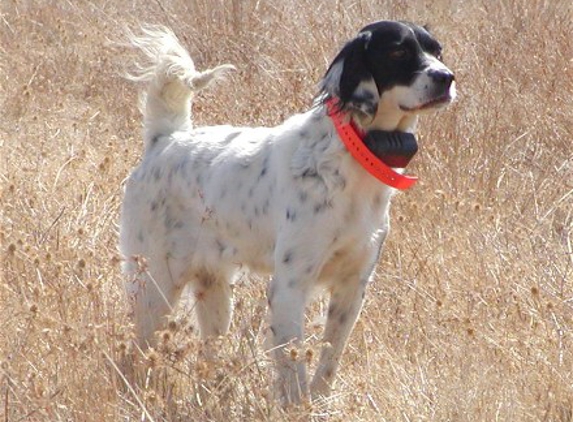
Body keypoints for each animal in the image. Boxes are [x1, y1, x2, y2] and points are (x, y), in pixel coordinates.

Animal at [120, 21, 456, 404]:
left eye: (437, 50)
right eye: (398, 51)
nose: (446, 77)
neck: (352, 154)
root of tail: (165, 141)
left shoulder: (352, 286)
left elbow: (327, 363)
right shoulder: (289, 287)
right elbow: (294, 372)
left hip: (214, 292)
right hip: (155, 285)